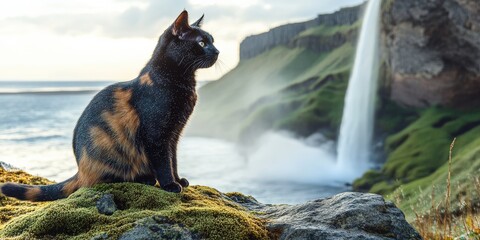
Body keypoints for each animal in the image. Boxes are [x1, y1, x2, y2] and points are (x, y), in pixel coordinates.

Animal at [0, 9, 219, 201]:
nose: (217, 51)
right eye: (201, 42)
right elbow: (164, 163)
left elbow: (173, 160)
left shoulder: (173, 135)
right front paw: (170, 185)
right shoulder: (157, 136)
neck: (177, 82)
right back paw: (144, 179)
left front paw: (178, 179)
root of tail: (79, 171)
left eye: (212, 41)